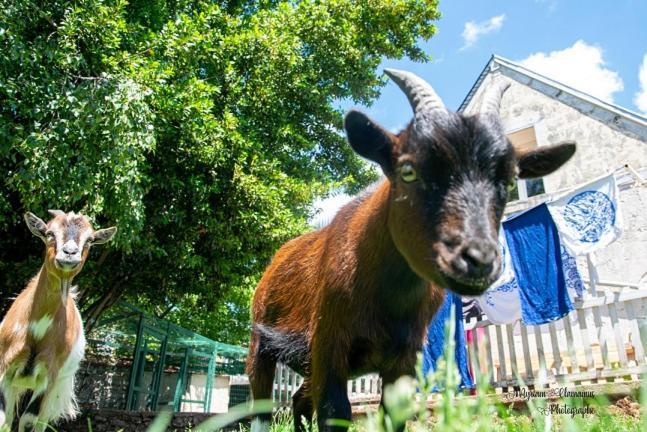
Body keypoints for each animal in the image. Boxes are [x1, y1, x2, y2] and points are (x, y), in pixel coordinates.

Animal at [248, 69, 576, 430]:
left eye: (510, 180)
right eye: (408, 171)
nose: (477, 260)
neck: (389, 295)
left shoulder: (404, 359)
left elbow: (394, 416)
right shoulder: (329, 343)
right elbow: (336, 412)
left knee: (299, 401)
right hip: (262, 342)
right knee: (260, 406)